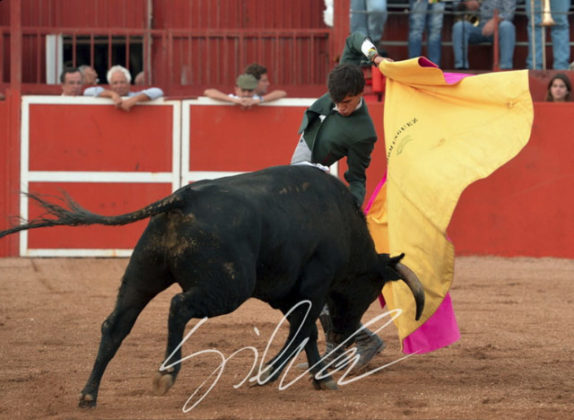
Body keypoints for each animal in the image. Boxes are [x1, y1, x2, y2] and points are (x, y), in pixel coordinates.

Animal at [0, 165, 424, 406]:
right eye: (371, 289)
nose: (344, 330)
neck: (345, 227)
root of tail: (182, 197)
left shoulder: (292, 296)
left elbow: (303, 334)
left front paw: (316, 377)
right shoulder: (313, 288)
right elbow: (302, 333)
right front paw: (275, 375)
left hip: (143, 272)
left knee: (116, 323)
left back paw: (89, 394)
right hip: (227, 289)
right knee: (179, 307)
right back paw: (166, 374)